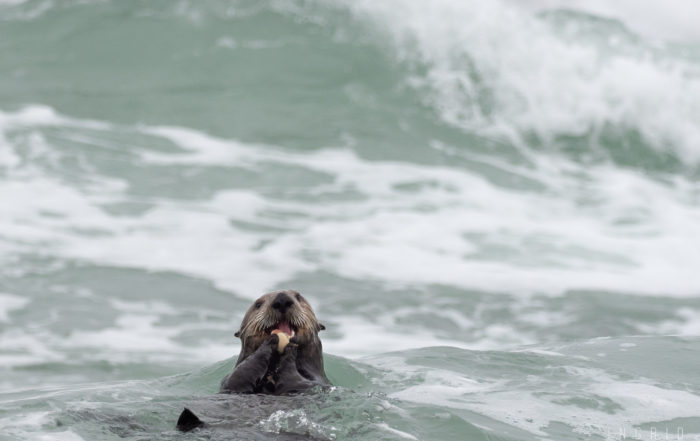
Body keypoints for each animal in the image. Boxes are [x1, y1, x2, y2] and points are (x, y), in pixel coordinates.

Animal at [175, 288, 328, 430]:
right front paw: (271, 341)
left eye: (298, 297)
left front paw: (289, 349)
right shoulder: (230, 383)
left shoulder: (317, 383)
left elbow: (299, 383)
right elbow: (239, 376)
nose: (282, 299)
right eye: (258, 304)